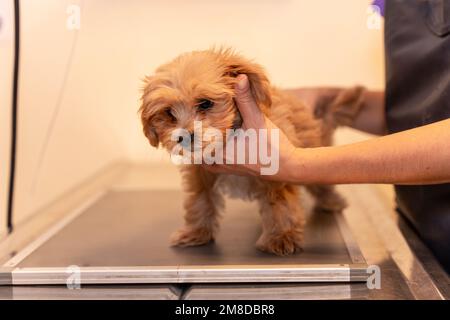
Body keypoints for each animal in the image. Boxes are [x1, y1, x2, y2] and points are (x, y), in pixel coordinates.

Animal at [141, 48, 366, 256]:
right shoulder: (200, 173)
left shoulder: (275, 169)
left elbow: (280, 201)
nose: (183, 137)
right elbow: (200, 200)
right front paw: (196, 232)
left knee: (321, 183)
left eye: (205, 103)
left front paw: (281, 237)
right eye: (169, 113)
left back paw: (331, 201)